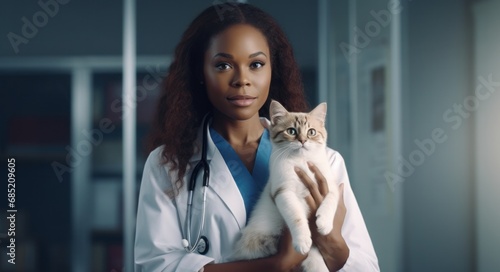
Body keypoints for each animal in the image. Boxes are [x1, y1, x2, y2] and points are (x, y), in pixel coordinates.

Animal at [231, 100, 340, 272]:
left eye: (311, 132)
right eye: (291, 131)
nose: (303, 141)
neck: (301, 162)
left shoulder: (330, 185)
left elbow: (330, 202)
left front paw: (324, 223)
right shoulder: (283, 192)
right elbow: (296, 216)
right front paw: (302, 240)